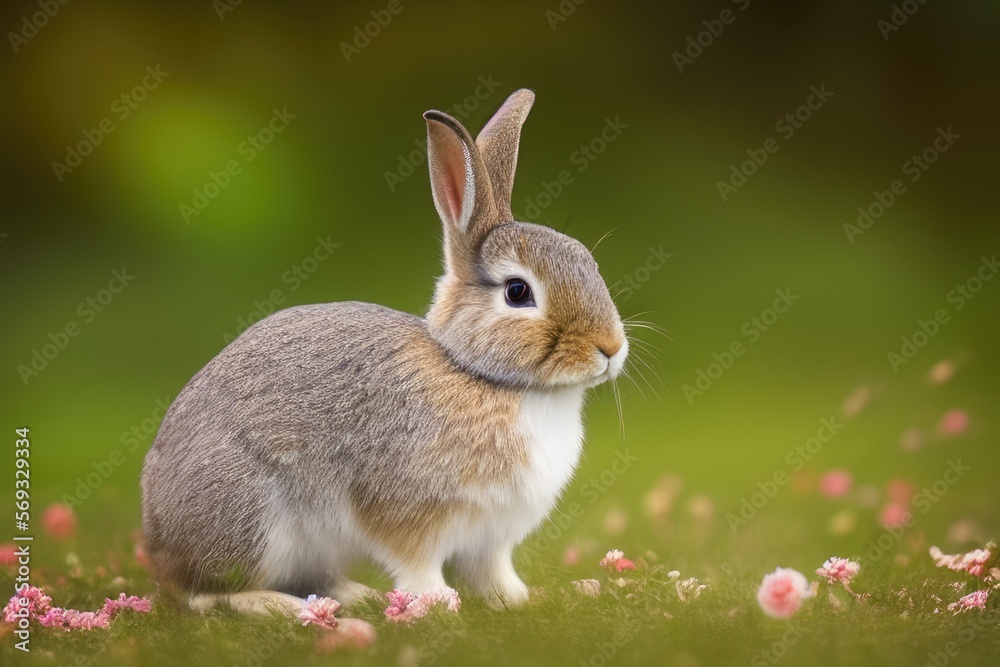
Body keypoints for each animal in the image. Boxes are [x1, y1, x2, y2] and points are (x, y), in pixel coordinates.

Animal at [140, 88, 629, 614]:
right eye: (518, 292)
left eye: (585, 258)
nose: (610, 348)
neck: (478, 373)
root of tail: (157, 540)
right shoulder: (407, 511)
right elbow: (417, 563)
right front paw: (437, 601)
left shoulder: (491, 539)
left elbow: (494, 572)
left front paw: (524, 599)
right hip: (251, 518)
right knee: (205, 594)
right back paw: (284, 606)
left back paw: (353, 595)